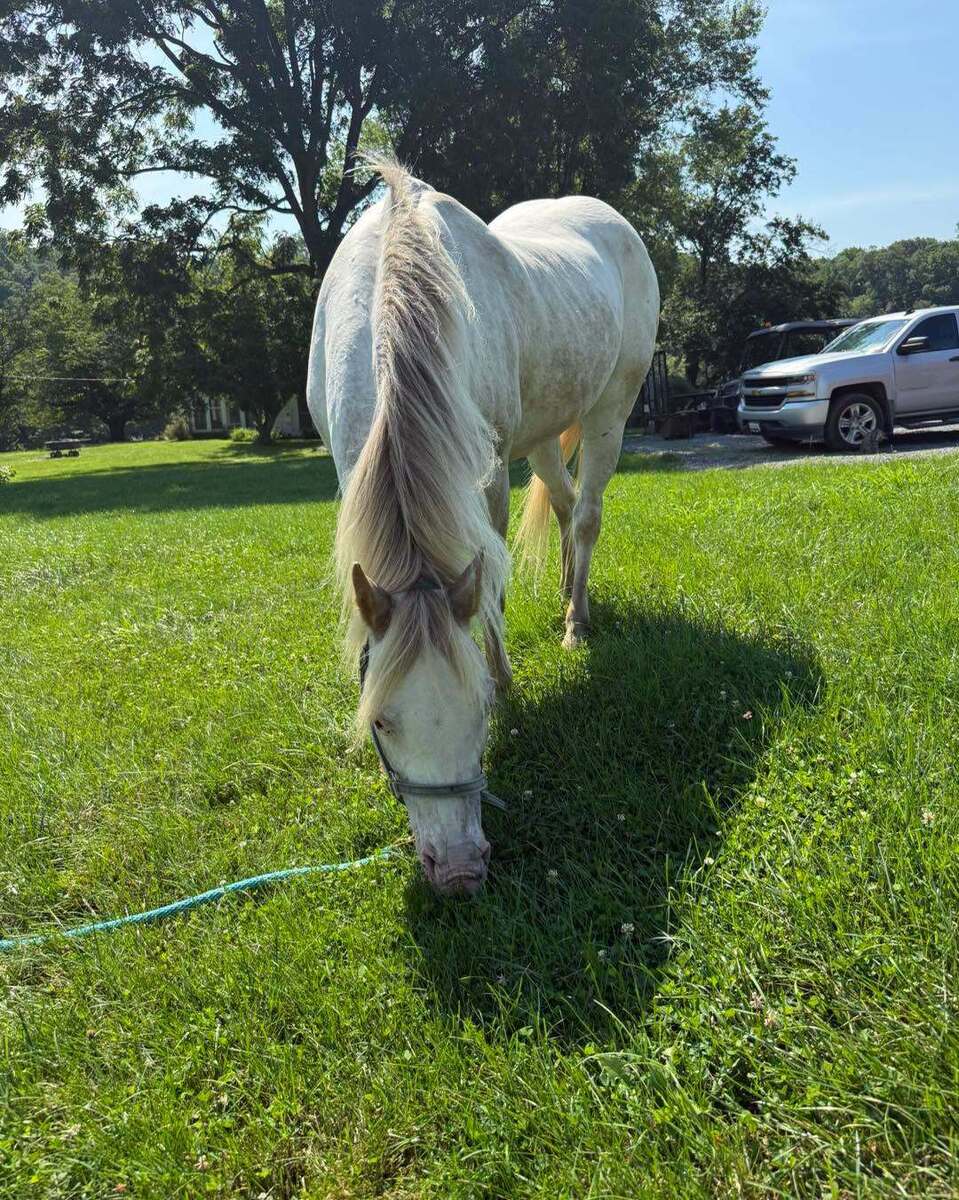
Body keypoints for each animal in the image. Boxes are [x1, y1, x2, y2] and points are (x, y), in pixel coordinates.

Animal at [307, 155, 659, 896]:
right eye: (382, 721)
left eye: (479, 712)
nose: (460, 871)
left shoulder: (488, 473)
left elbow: (487, 583)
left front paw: (506, 678)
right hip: (545, 435)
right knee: (563, 506)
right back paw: (566, 596)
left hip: (610, 410)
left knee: (587, 515)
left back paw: (576, 622)